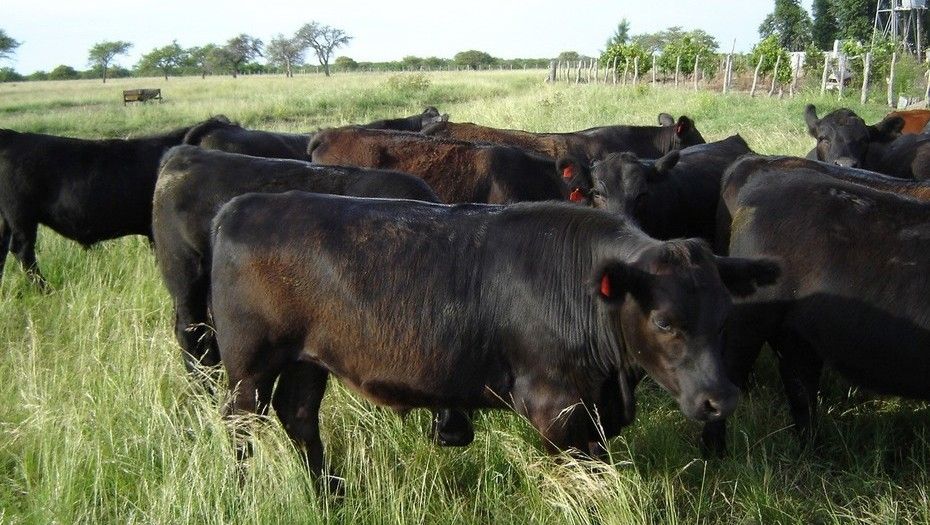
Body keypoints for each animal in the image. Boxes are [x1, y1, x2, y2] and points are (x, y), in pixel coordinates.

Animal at [208, 191, 776, 484]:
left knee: (300, 417)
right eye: (664, 322)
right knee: (241, 428)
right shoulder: (557, 408)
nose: (720, 400)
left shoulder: (594, 411)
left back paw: (329, 495)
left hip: (306, 360)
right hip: (248, 368)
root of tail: (240, 205)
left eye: (725, 317)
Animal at [700, 156, 928, 454]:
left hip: (796, 332)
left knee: (800, 383)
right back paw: (713, 452)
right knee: (732, 371)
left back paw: (810, 447)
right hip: (748, 322)